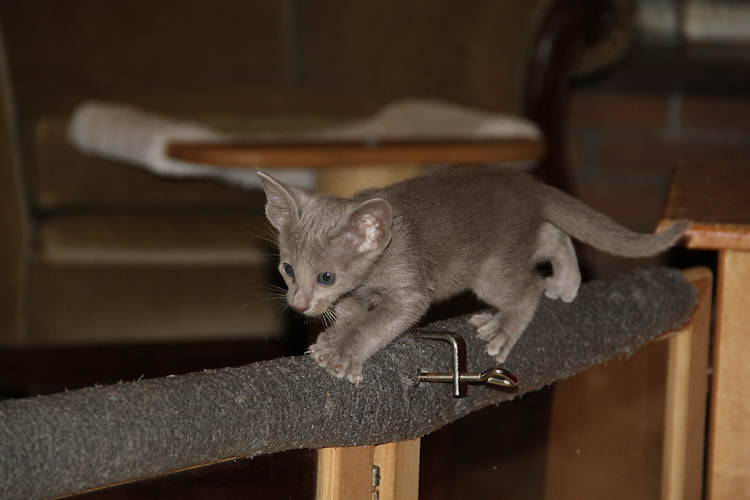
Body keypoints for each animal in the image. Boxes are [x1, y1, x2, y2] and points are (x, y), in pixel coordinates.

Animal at [258, 167, 688, 384]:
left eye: (326, 277)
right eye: (288, 268)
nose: (298, 303)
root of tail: (527, 185)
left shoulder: (410, 284)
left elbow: (379, 322)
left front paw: (343, 353)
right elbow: (353, 314)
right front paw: (333, 335)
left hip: (491, 270)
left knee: (529, 284)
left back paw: (505, 327)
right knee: (552, 233)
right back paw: (566, 281)